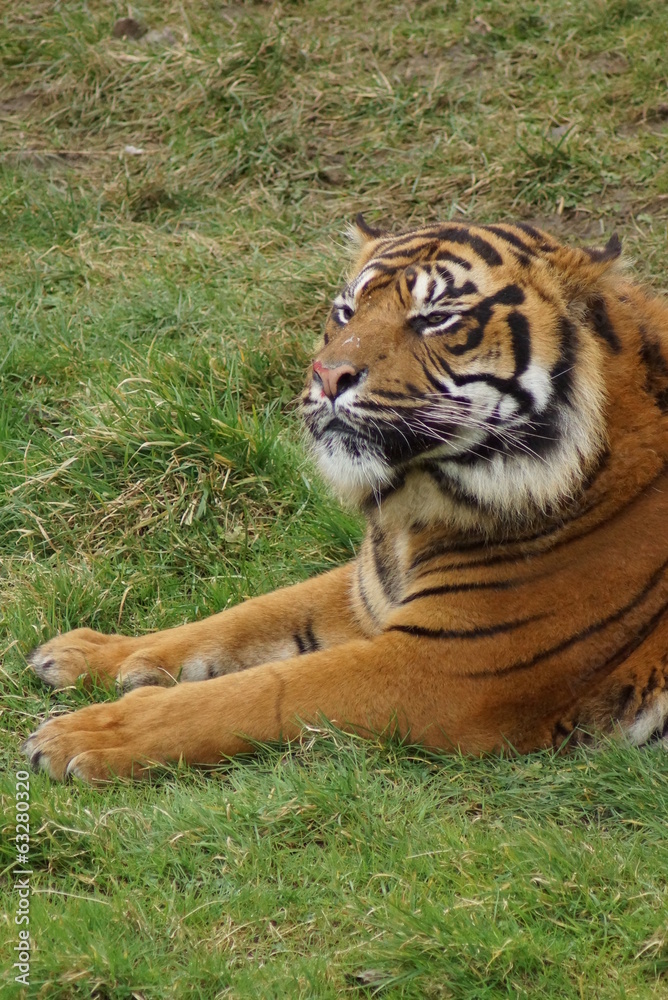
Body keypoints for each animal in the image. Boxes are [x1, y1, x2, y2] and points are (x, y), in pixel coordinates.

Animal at [23, 216, 668, 781]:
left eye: (436, 318)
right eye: (346, 312)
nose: (326, 375)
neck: (417, 512)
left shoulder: (446, 667)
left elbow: (260, 690)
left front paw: (82, 735)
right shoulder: (367, 596)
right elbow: (247, 614)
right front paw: (89, 652)